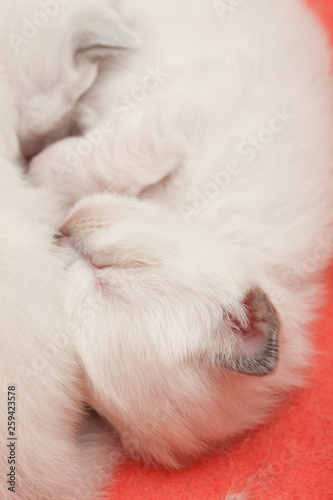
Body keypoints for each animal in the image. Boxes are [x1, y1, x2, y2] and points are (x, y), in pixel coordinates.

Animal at [29, 0, 332, 472]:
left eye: (100, 277)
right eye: (111, 268)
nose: (60, 230)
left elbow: (107, 157)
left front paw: (39, 172)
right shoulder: (201, 102)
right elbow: (114, 155)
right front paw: (40, 167)